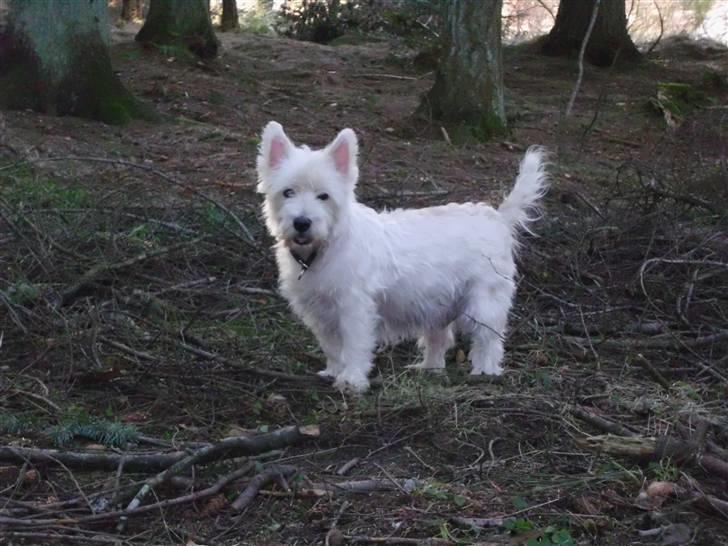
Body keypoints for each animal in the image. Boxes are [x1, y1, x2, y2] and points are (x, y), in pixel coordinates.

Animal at [256, 121, 544, 392]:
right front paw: (333, 371)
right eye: (288, 192)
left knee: (489, 339)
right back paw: (428, 368)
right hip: (438, 305)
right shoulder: (319, 312)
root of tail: (498, 218)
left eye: (324, 196)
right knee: (440, 339)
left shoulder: (354, 308)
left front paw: (352, 380)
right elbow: (331, 346)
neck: (322, 249)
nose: (302, 222)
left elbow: (354, 346)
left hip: (485, 302)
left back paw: (485, 372)